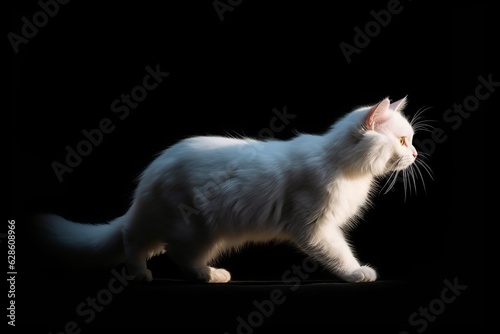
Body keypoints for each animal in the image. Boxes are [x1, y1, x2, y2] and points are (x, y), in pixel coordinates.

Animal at [36, 97, 426, 284]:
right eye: (402, 141)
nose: (416, 154)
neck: (342, 165)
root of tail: (150, 178)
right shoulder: (314, 226)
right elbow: (339, 254)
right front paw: (357, 273)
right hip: (189, 226)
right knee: (143, 243)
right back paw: (153, 274)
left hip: (198, 232)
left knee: (157, 247)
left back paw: (207, 275)